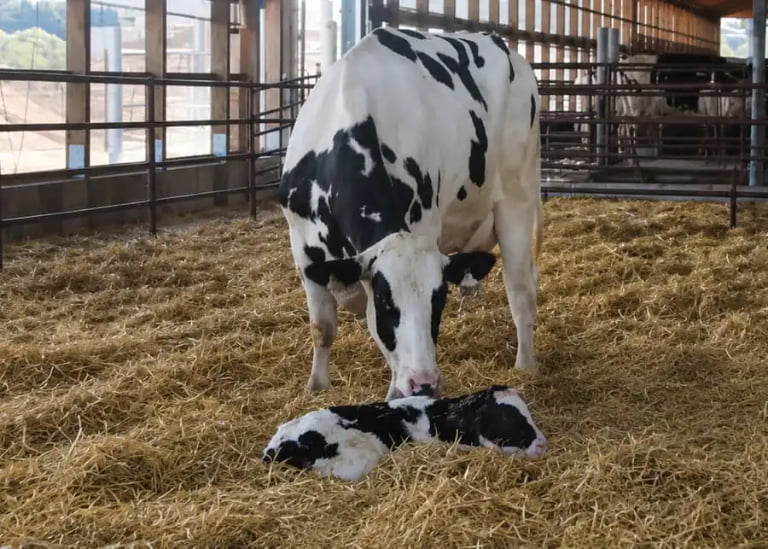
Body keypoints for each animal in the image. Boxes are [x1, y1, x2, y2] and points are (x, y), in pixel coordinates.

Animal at [279, 27, 542, 401]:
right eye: (386, 303)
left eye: (438, 300)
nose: (425, 384)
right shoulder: (302, 247)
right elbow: (322, 327)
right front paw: (316, 386)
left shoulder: (425, 224)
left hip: (517, 194)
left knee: (520, 289)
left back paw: (526, 365)